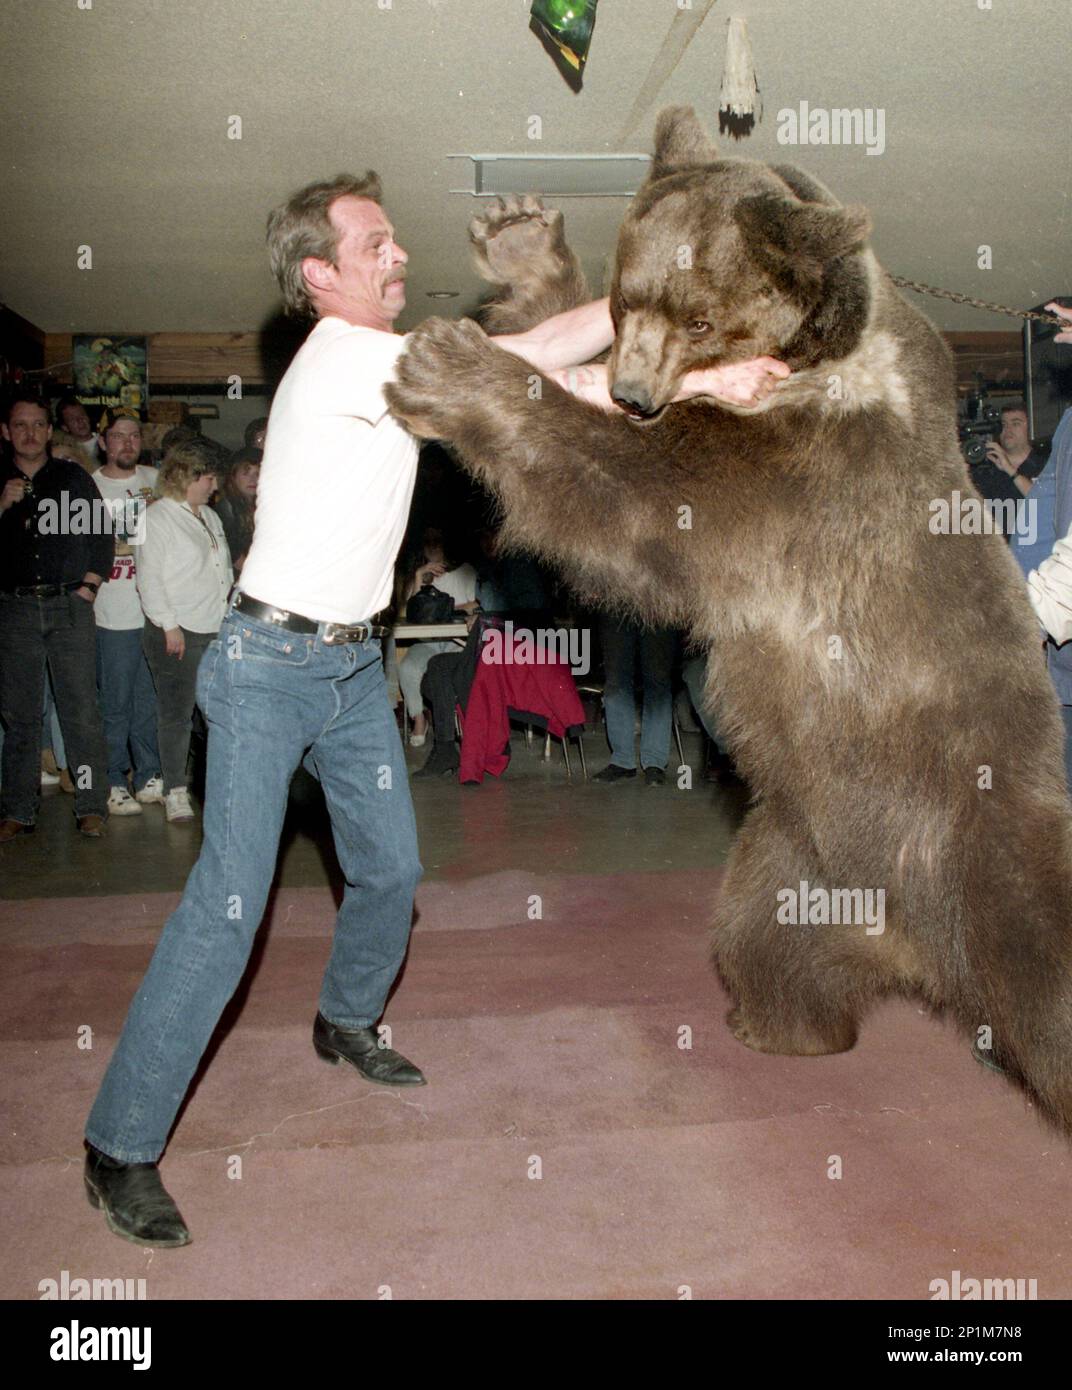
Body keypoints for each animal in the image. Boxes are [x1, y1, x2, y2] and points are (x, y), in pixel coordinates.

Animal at [389, 105, 1072, 1128]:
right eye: (626, 302)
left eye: (701, 315)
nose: (632, 394)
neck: (818, 356)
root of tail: (917, 948)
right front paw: (520, 246)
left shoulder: (806, 469)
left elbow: (639, 492)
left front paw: (455, 367)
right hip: (793, 854)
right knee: (766, 942)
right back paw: (777, 1024)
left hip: (980, 830)